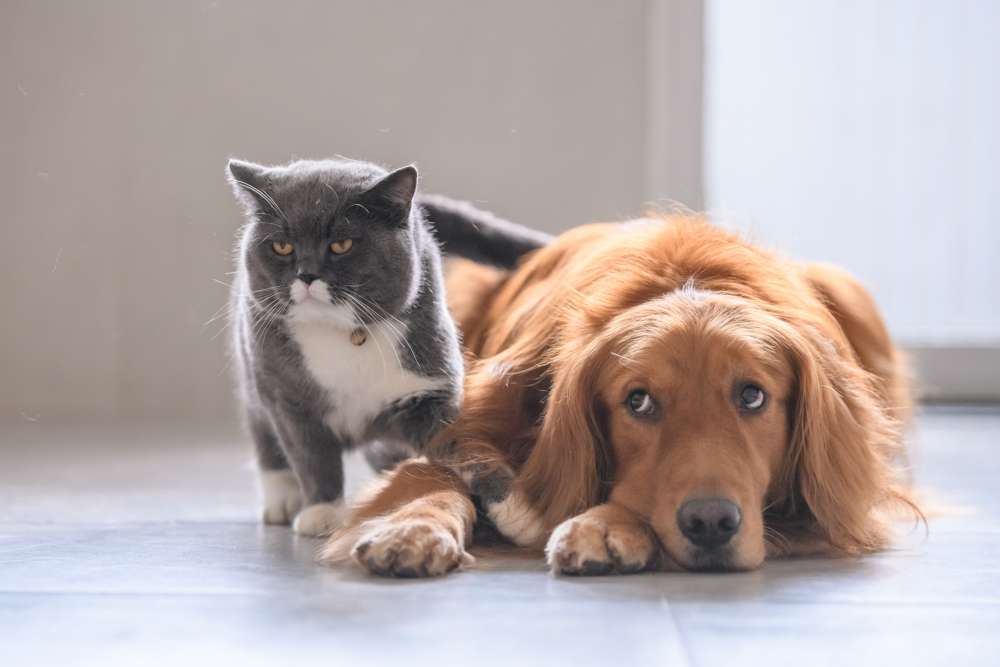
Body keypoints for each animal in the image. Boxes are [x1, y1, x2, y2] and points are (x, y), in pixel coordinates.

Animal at [225, 158, 548, 536]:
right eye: (282, 247)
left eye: (342, 244)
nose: (306, 275)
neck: (342, 334)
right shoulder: (287, 398)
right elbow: (310, 455)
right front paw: (321, 512)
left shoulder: (427, 391)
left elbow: (465, 442)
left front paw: (518, 511)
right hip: (254, 374)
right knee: (264, 435)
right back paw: (282, 500)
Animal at [322, 217, 920, 576]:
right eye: (638, 402)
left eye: (752, 396)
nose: (711, 523)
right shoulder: (473, 425)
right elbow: (435, 478)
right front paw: (413, 527)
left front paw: (603, 525)